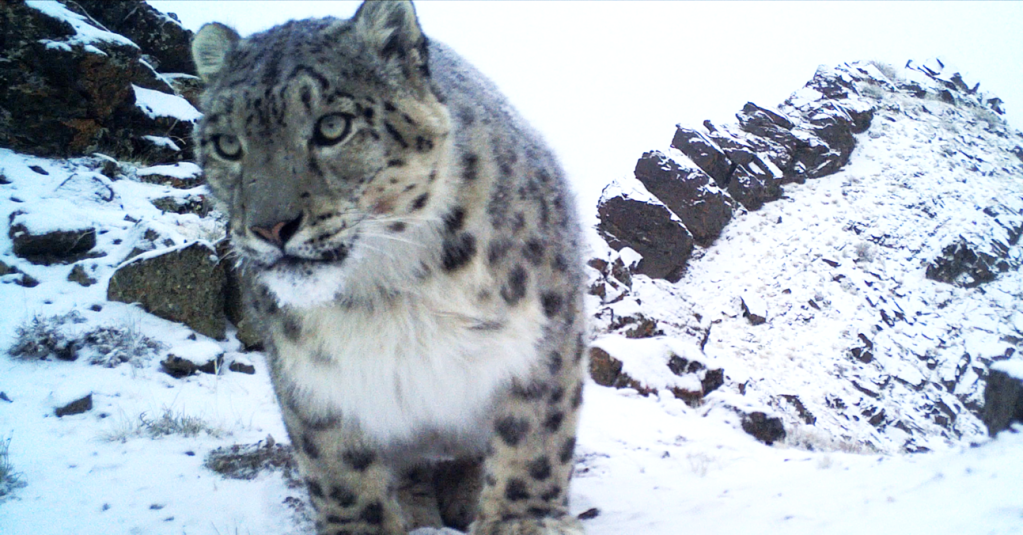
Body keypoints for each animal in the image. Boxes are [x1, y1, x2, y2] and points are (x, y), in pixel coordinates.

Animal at [190, 2, 587, 534]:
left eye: (332, 126)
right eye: (228, 145)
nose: (271, 227)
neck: (389, 289)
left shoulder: (546, 329)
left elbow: (535, 435)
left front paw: (523, 520)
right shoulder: (311, 376)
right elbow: (336, 464)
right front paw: (363, 523)